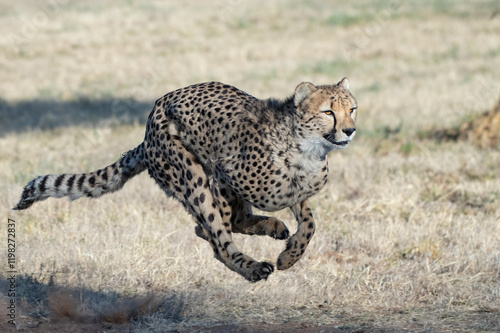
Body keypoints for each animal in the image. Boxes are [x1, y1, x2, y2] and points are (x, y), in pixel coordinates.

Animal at [13, 79, 358, 282]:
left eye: (352, 108)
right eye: (328, 112)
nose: (350, 130)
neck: (305, 148)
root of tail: (148, 129)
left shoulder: (294, 194)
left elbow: (310, 223)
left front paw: (290, 255)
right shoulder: (221, 173)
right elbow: (223, 225)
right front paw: (280, 253)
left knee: (228, 223)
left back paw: (273, 227)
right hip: (190, 175)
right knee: (217, 235)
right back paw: (250, 266)